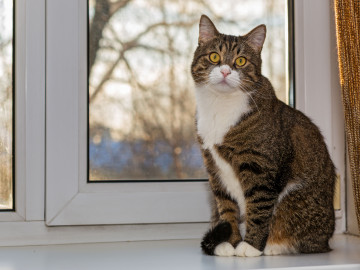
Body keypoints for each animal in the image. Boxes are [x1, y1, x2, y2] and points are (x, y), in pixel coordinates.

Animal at [191, 15, 334, 258]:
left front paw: (249, 245)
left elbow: (258, 205)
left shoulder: (259, 165)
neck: (220, 106)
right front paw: (228, 242)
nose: (225, 71)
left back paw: (273, 245)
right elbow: (225, 207)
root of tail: (327, 241)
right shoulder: (213, 167)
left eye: (240, 61)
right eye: (214, 56)